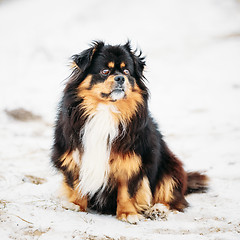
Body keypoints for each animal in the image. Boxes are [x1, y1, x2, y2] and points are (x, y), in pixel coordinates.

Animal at [51, 40, 208, 223]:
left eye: (126, 72)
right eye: (105, 71)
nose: (120, 78)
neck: (106, 109)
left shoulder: (132, 161)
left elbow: (127, 190)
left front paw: (128, 213)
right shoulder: (74, 155)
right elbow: (76, 183)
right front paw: (75, 204)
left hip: (170, 168)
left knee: (172, 198)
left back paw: (158, 210)